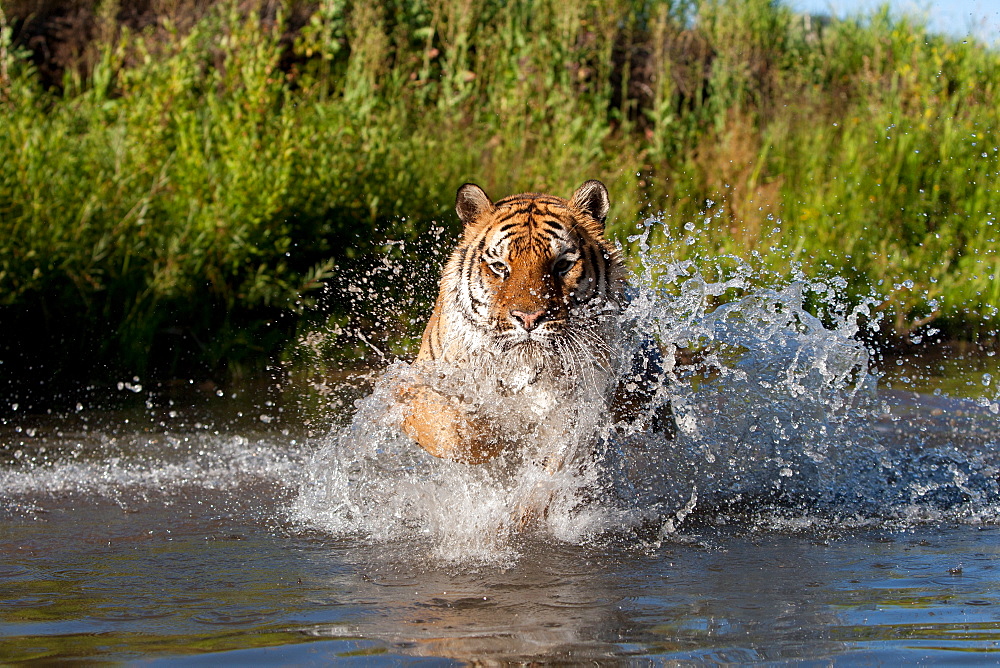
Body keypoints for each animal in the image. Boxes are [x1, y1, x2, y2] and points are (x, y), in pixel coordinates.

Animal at [398, 180, 672, 468]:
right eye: (499, 266)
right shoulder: (408, 383)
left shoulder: (579, 419)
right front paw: (495, 436)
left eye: (562, 265)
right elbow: (447, 427)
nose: (528, 318)